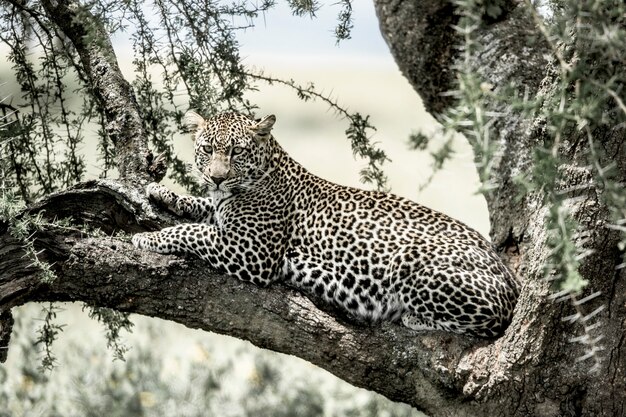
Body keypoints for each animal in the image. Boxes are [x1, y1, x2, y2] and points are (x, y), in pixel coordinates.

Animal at [134, 110, 520, 338]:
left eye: (236, 151)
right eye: (207, 149)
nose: (216, 177)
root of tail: (509, 273)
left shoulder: (252, 252)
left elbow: (192, 230)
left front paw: (148, 239)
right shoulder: (225, 219)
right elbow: (200, 209)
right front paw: (162, 192)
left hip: (413, 260)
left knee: (491, 321)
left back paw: (412, 316)